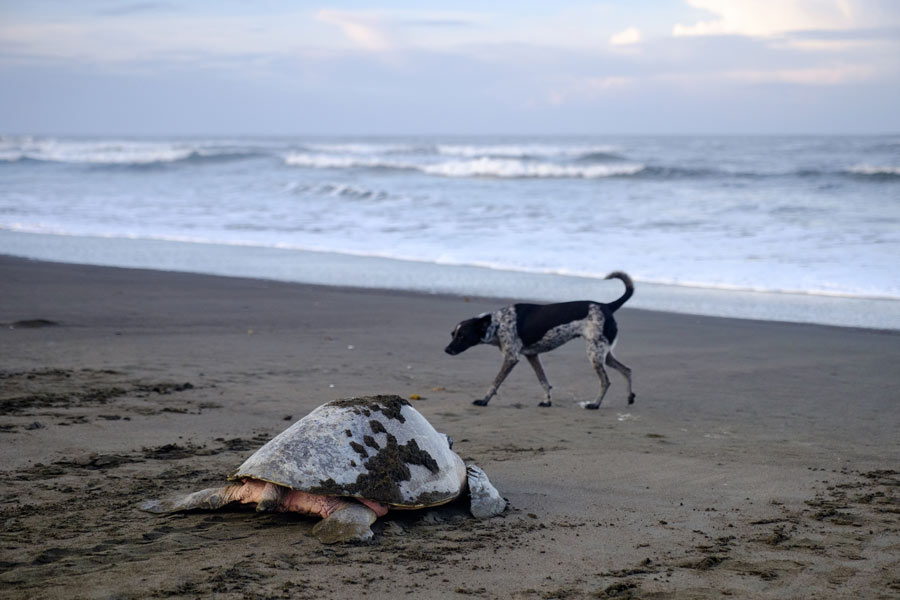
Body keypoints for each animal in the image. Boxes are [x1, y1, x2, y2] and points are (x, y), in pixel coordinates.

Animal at [446, 270, 636, 408]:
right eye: (453, 334)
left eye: (462, 335)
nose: (446, 350)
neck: (498, 324)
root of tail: (607, 306)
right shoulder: (532, 356)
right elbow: (543, 381)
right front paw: (547, 401)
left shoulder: (511, 358)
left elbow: (495, 382)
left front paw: (484, 400)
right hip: (603, 353)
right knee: (627, 370)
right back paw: (629, 397)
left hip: (594, 354)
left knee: (606, 381)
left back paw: (595, 404)